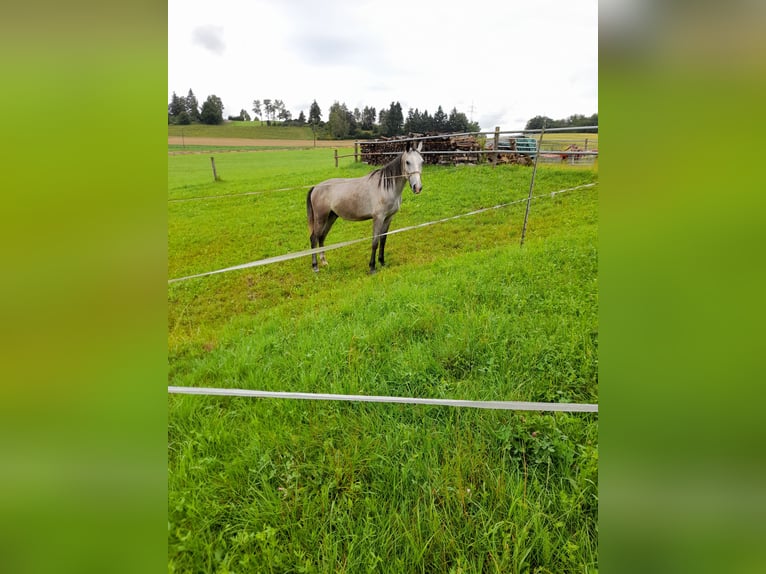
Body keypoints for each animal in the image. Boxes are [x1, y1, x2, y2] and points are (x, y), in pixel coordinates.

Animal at [308, 140, 426, 274]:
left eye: (422, 161)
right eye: (407, 162)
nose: (417, 187)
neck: (385, 186)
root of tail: (315, 187)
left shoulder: (388, 218)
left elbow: (383, 240)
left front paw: (382, 262)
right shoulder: (378, 218)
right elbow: (375, 241)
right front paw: (372, 267)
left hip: (331, 217)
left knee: (322, 237)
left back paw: (324, 262)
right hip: (321, 218)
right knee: (314, 238)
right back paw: (315, 266)